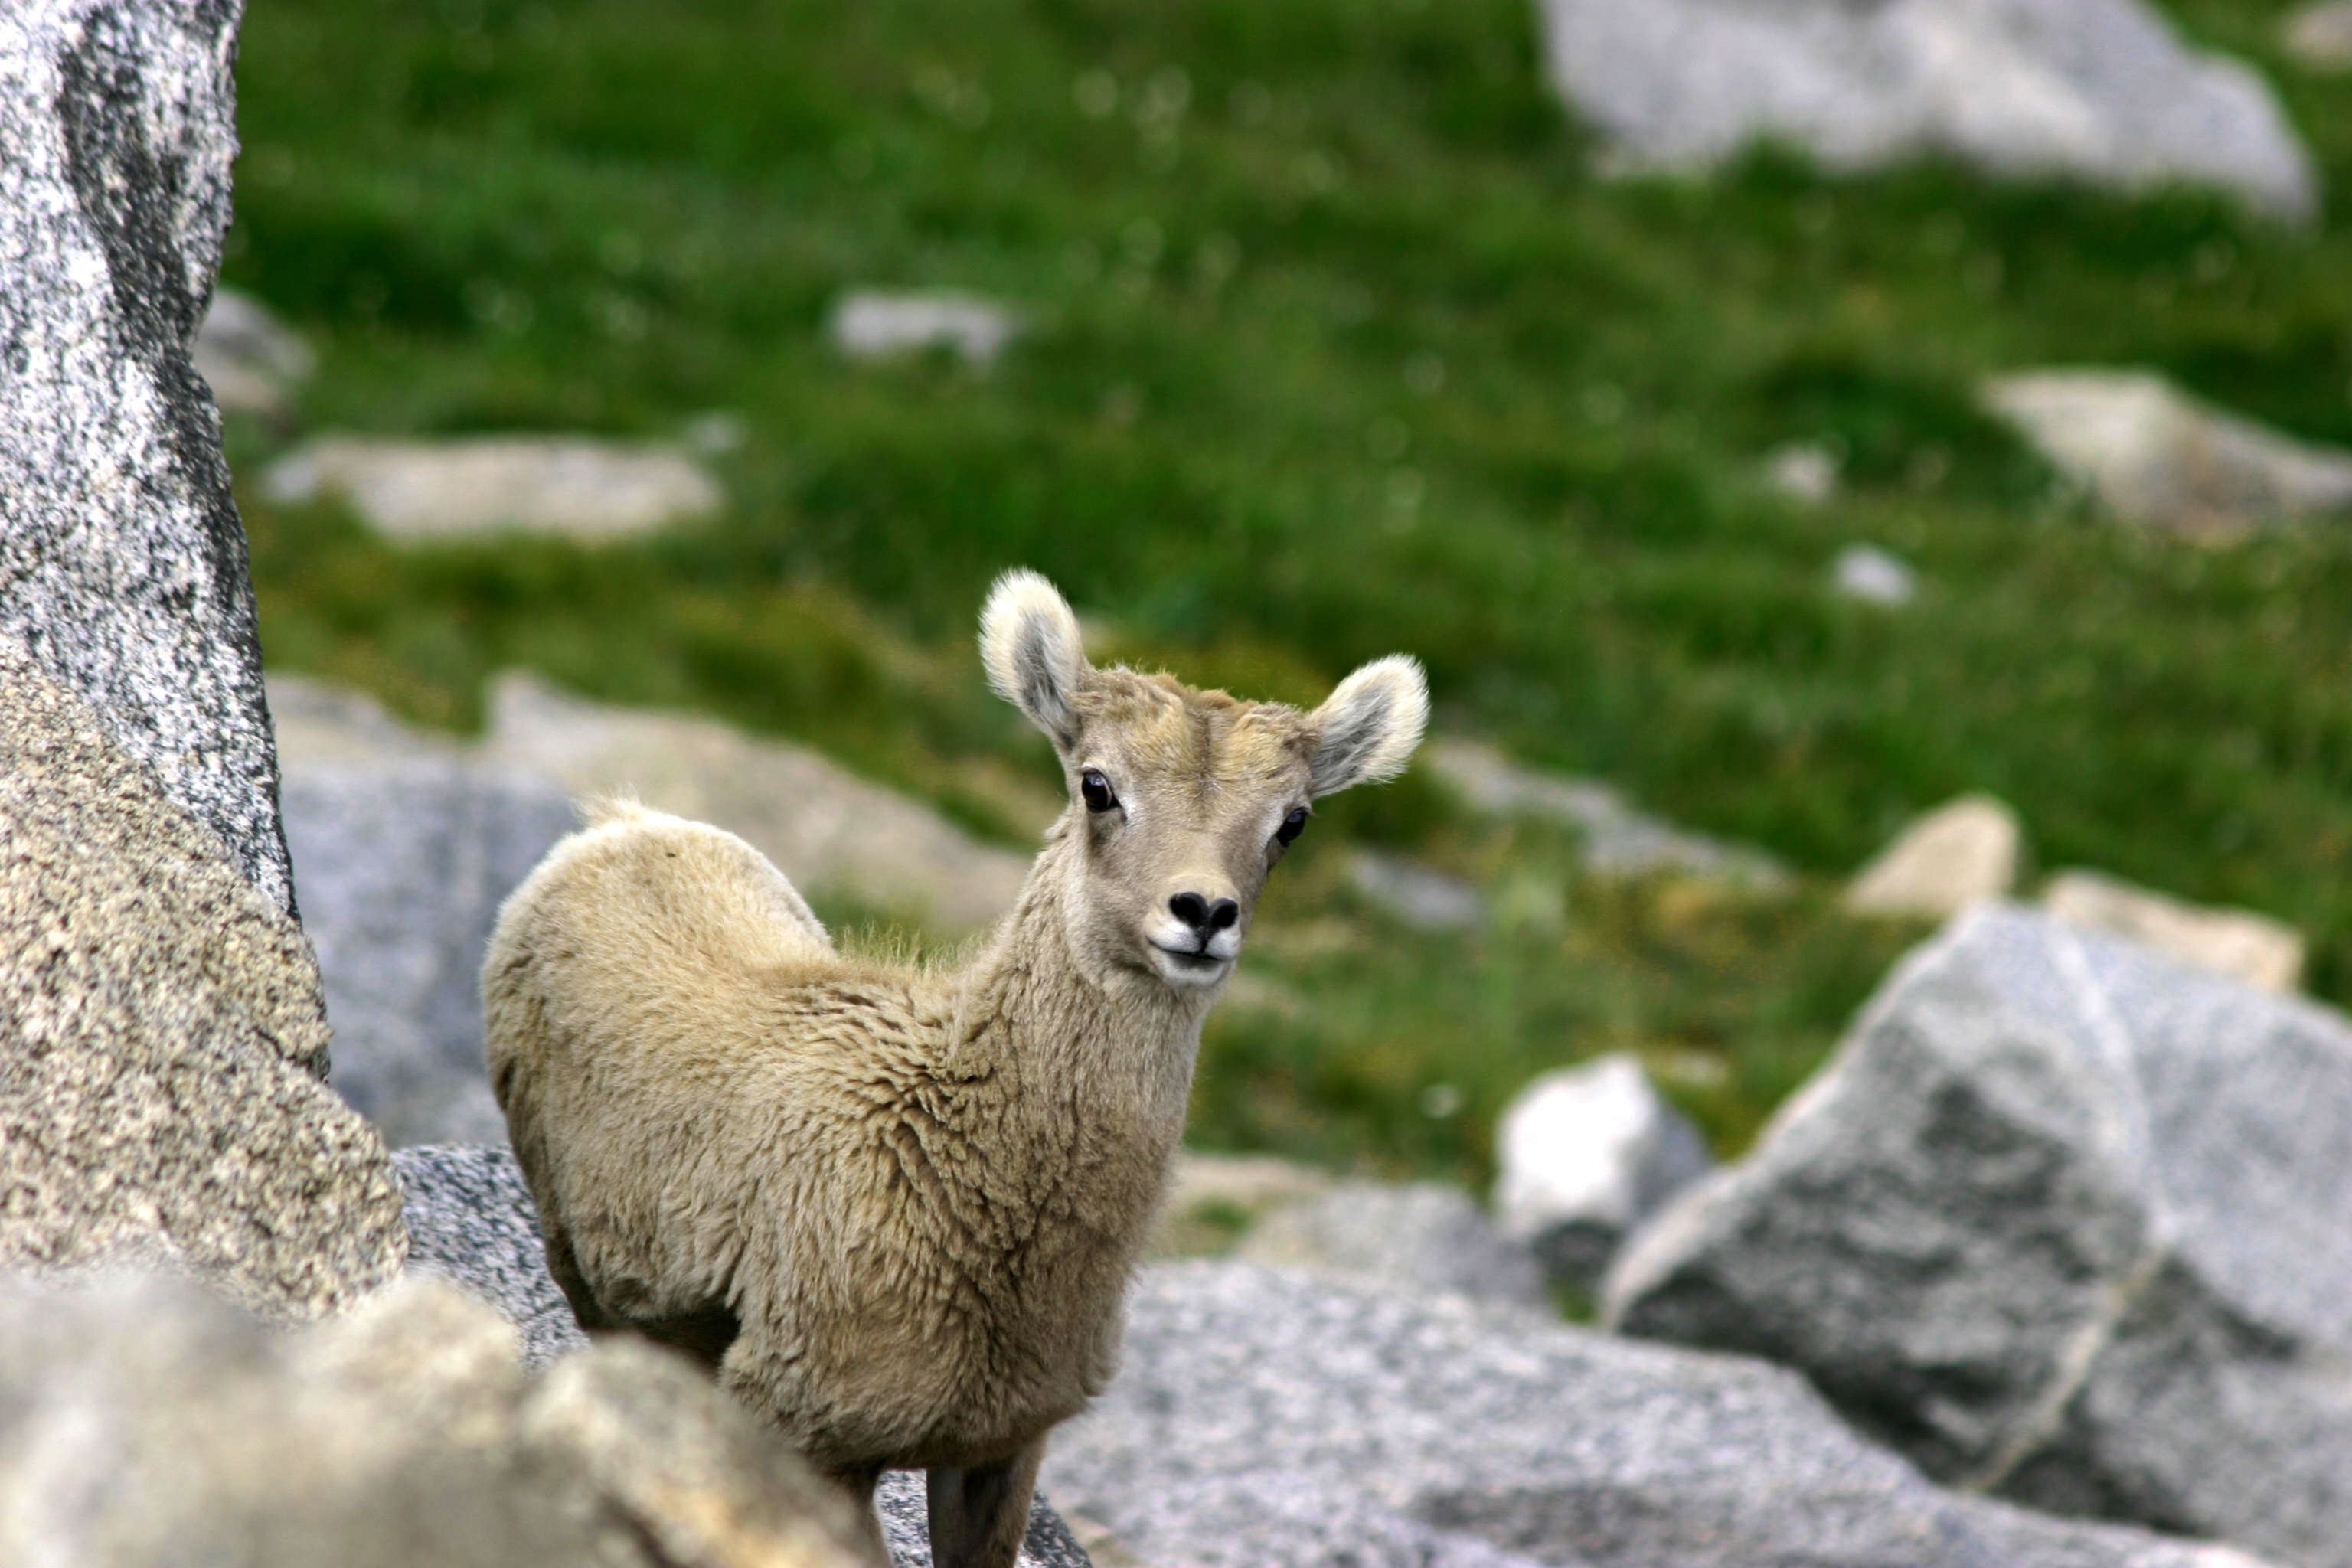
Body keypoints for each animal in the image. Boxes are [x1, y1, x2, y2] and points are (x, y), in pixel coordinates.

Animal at [483, 569, 1428, 1568]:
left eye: (1293, 822)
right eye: (1098, 785)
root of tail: (615, 827)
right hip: (582, 1271)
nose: (1203, 912)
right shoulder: (810, 1435)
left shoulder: (999, 1451)